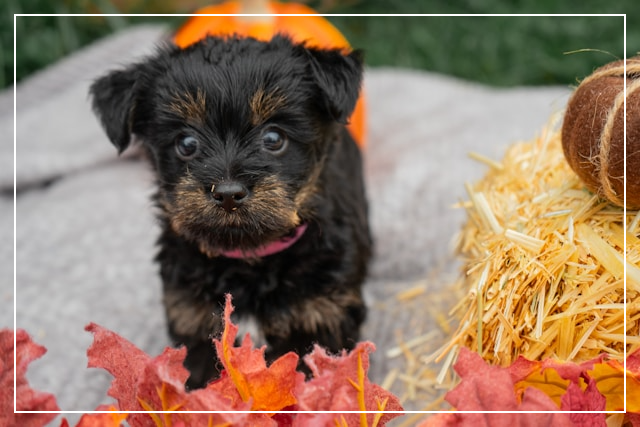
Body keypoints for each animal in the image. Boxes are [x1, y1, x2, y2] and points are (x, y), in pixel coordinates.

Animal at [89, 35, 370, 390]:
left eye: (273, 138)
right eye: (186, 143)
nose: (227, 193)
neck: (249, 260)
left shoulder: (322, 320)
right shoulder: (195, 325)